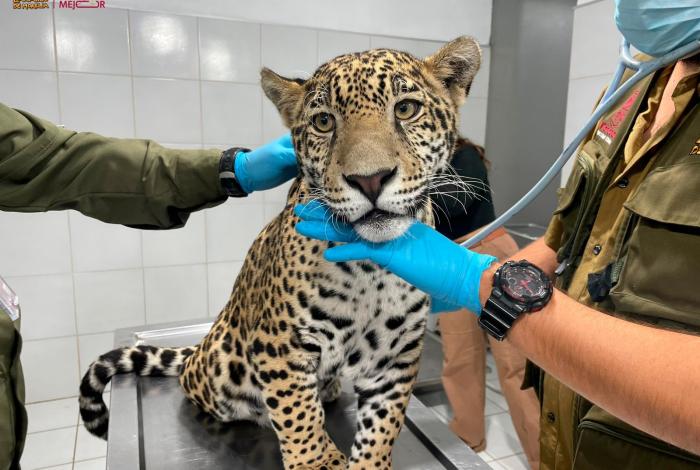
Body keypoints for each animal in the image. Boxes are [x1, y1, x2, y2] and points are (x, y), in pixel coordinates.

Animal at [78, 36, 482, 470]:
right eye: (324, 122)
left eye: (406, 109)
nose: (370, 180)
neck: (372, 267)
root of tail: (198, 351)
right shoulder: (281, 345)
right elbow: (298, 416)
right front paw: (315, 461)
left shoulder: (397, 358)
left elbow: (382, 429)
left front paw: (366, 461)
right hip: (222, 371)